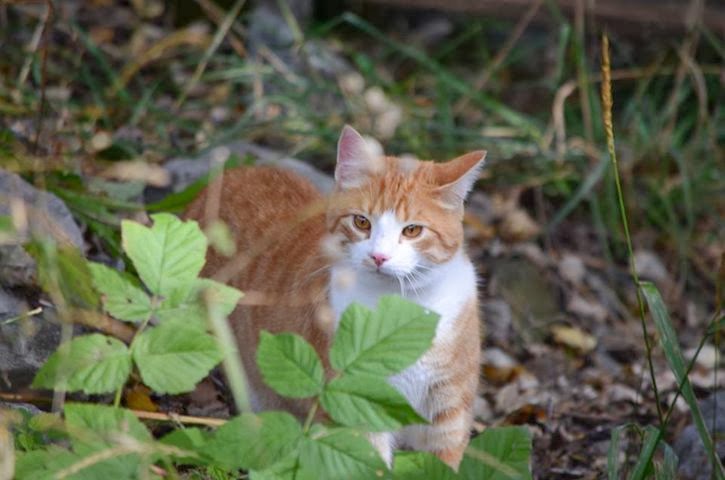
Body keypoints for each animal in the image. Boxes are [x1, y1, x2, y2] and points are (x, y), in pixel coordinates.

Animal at [184, 125, 484, 470]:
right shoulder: (355, 406)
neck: (400, 308)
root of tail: (229, 176)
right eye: (362, 222)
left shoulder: (448, 411)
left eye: (412, 231)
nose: (379, 257)